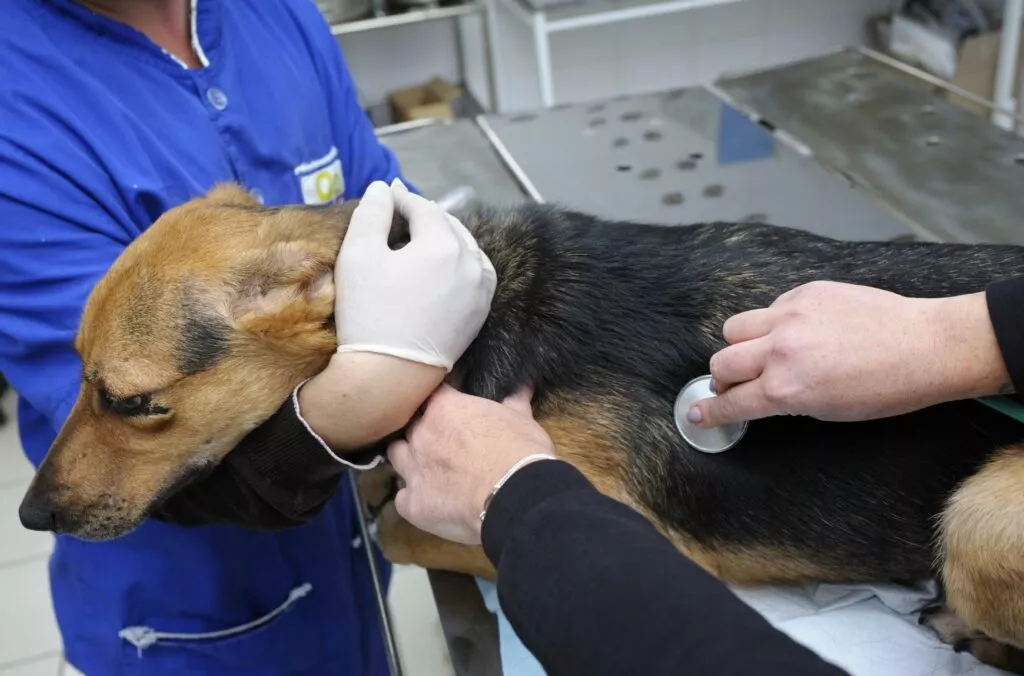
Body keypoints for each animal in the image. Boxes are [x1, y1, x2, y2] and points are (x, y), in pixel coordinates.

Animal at [16, 183, 1024, 671]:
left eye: (132, 402)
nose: (30, 517)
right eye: (75, 370)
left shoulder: (644, 529)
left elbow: (399, 522)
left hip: (980, 519)